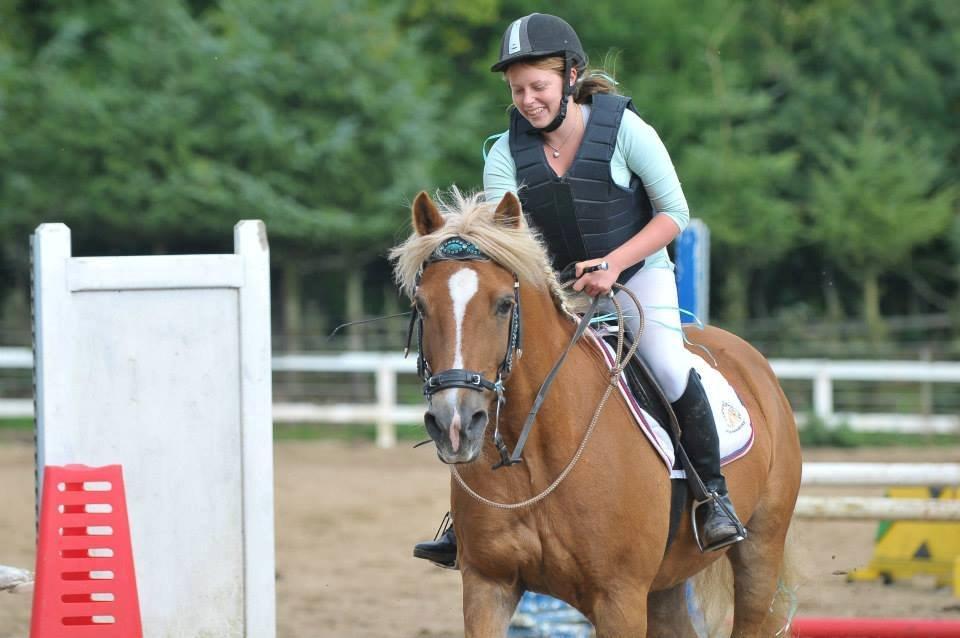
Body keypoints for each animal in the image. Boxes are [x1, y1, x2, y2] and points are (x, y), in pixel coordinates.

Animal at [390, 191, 804, 638]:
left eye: (504, 305)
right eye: (421, 306)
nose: (455, 424)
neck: (535, 455)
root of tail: (754, 362)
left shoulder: (619, 599)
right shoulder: (488, 585)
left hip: (760, 552)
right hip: (664, 585)